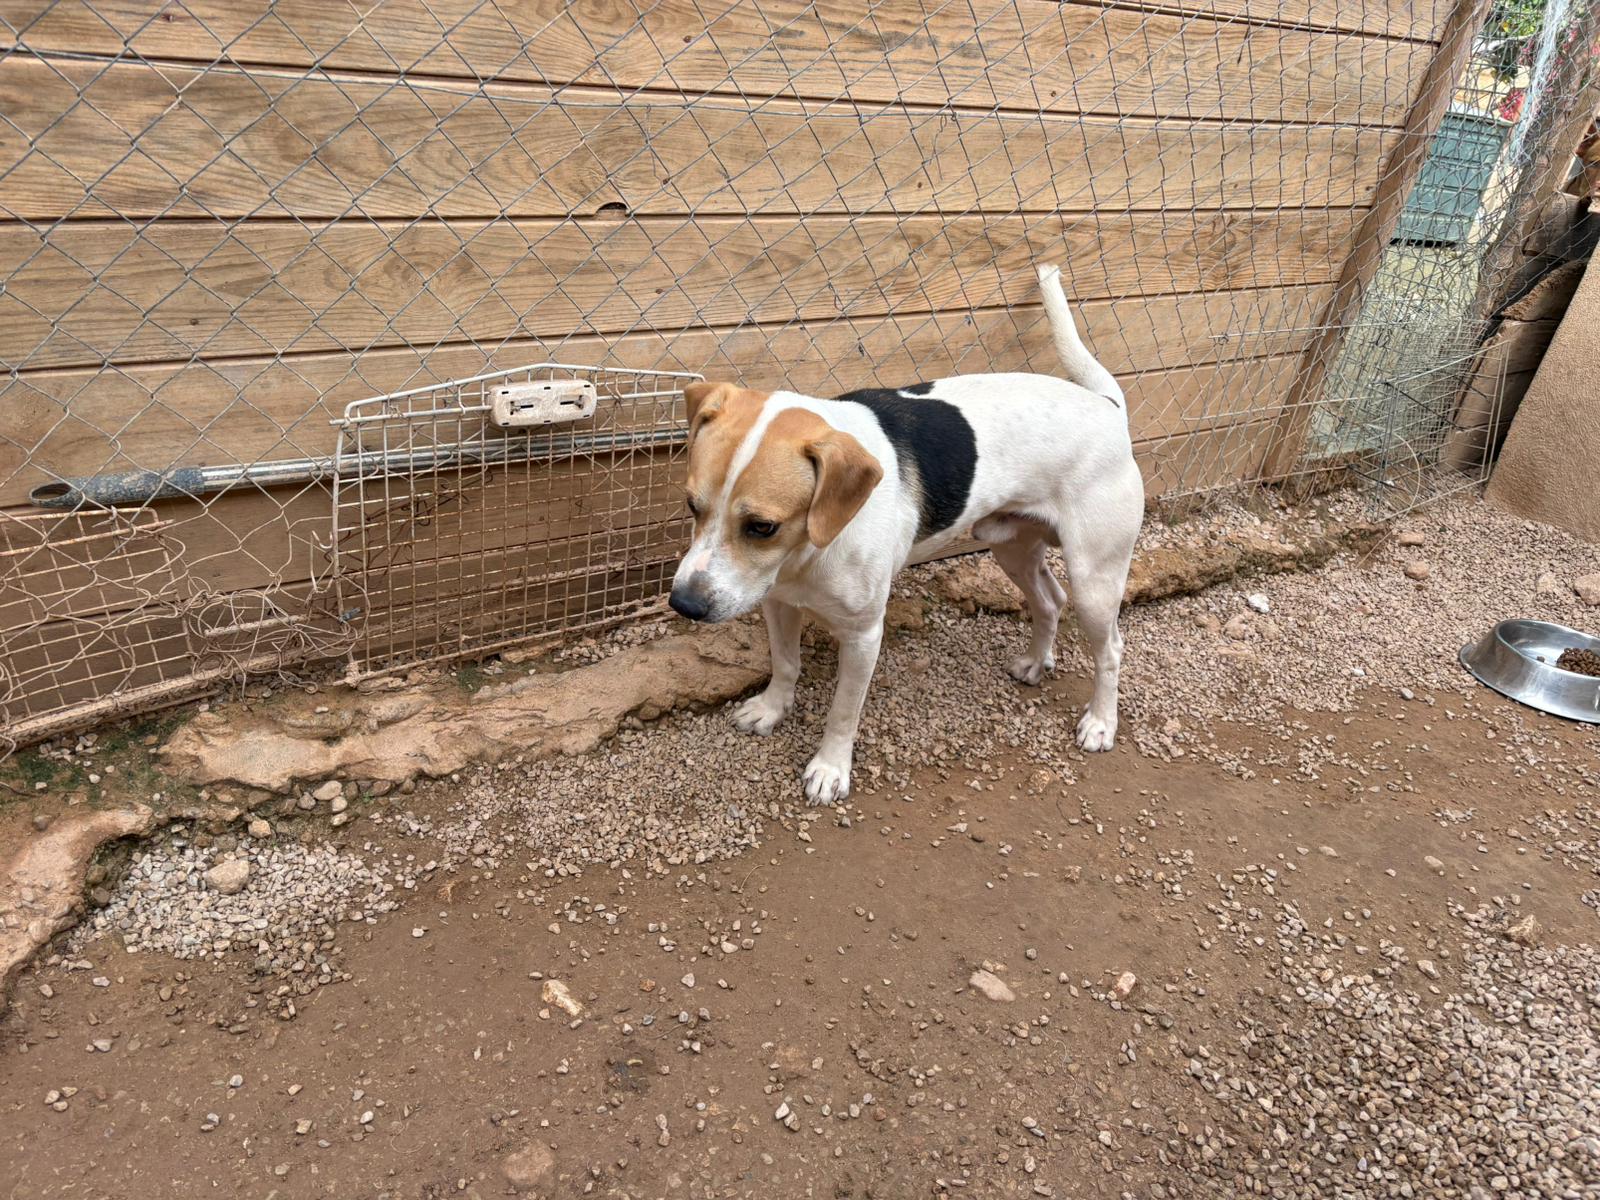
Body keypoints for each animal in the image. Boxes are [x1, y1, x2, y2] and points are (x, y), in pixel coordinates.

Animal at [669, 264, 1144, 804]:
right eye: (692, 506)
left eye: (762, 527)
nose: (684, 605)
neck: (809, 550)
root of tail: (1107, 407)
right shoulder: (778, 602)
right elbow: (786, 664)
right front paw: (771, 709)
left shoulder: (862, 636)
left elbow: (843, 711)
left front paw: (830, 769)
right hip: (1013, 549)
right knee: (1049, 601)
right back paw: (1035, 663)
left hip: (1095, 579)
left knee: (1110, 649)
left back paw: (1101, 722)